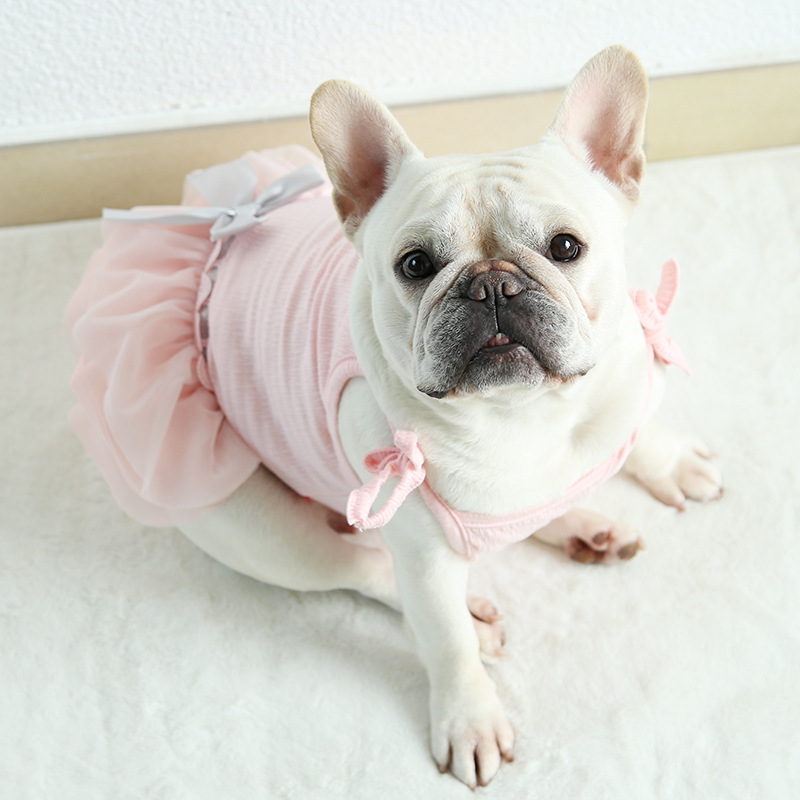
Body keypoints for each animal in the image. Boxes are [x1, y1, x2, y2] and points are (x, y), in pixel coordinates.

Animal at [68, 45, 722, 788]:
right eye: (415, 264)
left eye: (565, 248)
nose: (493, 284)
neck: (521, 415)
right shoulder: (423, 558)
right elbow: (443, 640)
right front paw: (469, 718)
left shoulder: (622, 376)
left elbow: (637, 434)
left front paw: (670, 461)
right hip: (257, 531)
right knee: (367, 569)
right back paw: (484, 604)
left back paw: (584, 526)